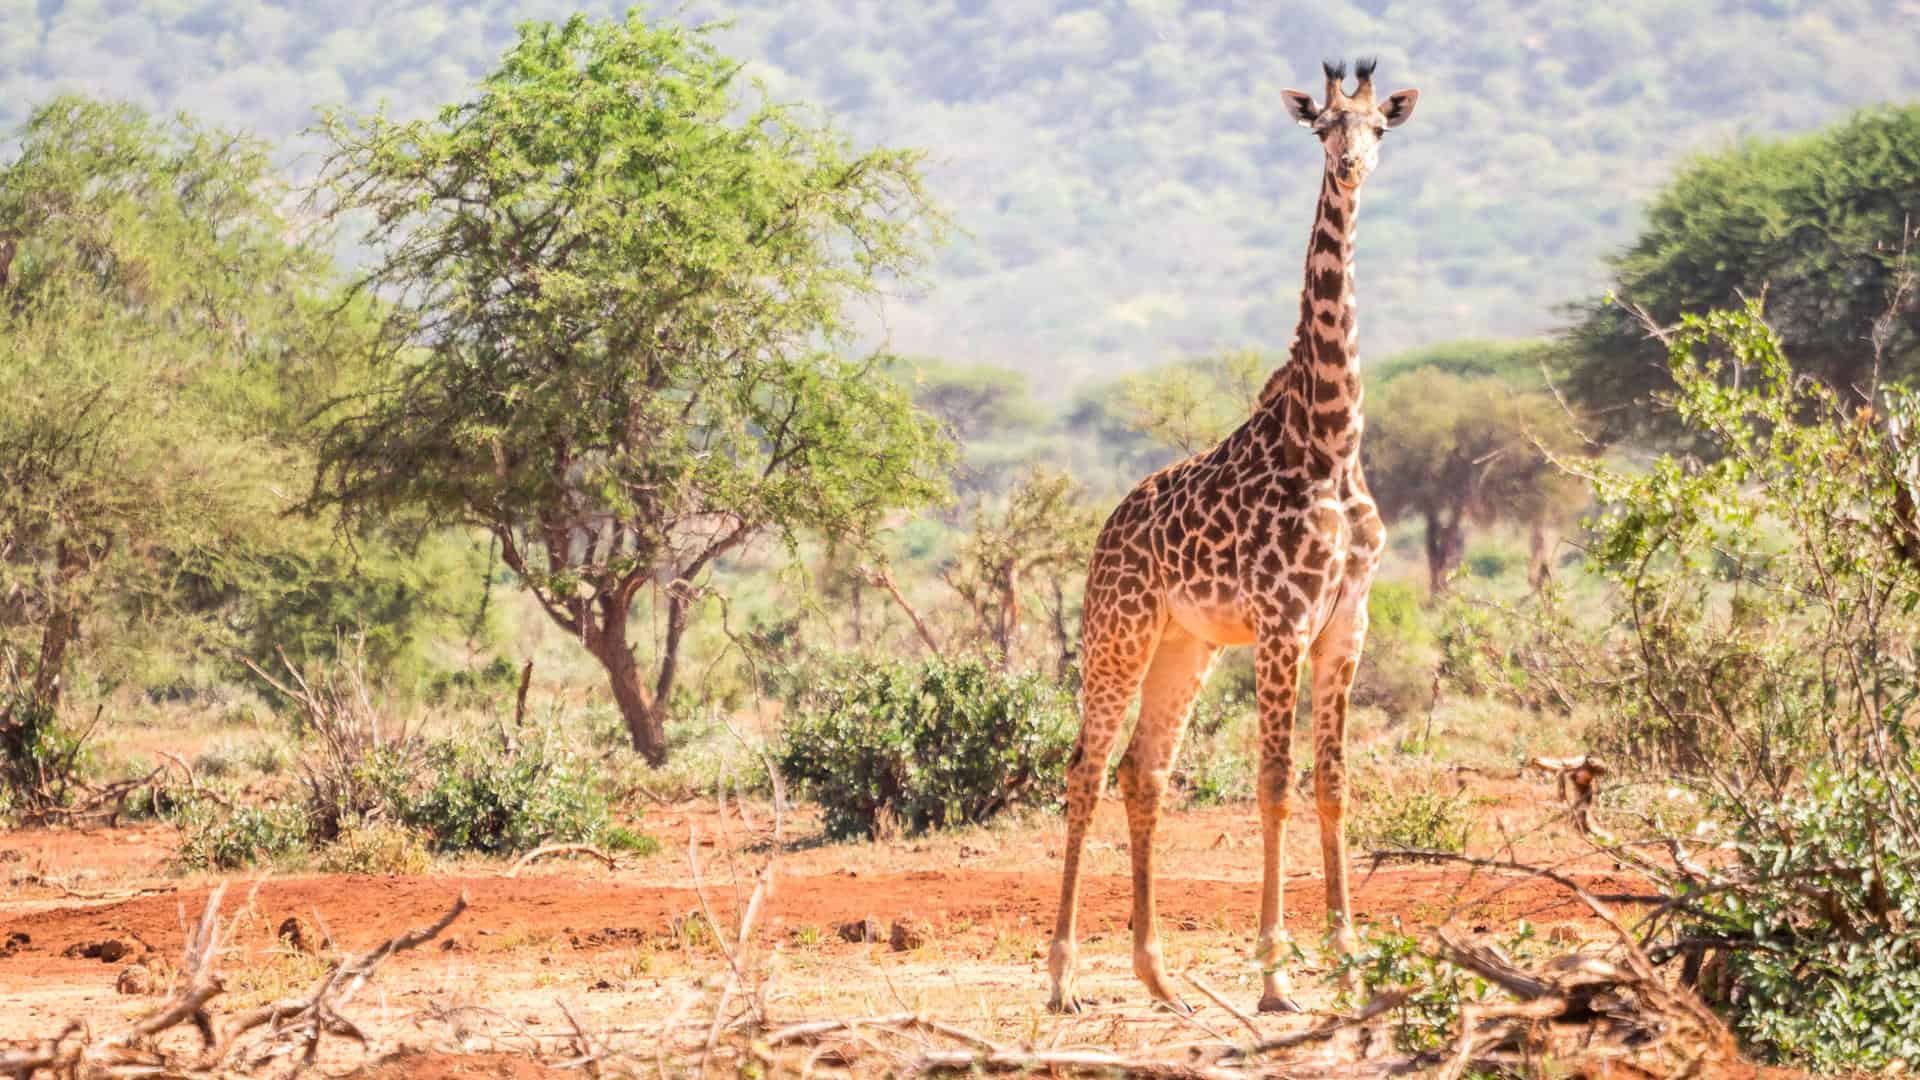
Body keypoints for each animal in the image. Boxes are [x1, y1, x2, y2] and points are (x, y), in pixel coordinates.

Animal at [1048, 58, 1418, 1015]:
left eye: (1379, 127)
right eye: (1323, 125)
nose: (1352, 167)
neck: (1329, 440)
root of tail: (1107, 529)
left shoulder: (1345, 624)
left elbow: (1333, 784)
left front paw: (1349, 957)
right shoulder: (1284, 623)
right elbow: (1275, 785)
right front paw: (1277, 975)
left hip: (1189, 645)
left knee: (1144, 772)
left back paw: (1156, 975)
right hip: (1119, 632)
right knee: (1086, 768)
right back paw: (1062, 979)